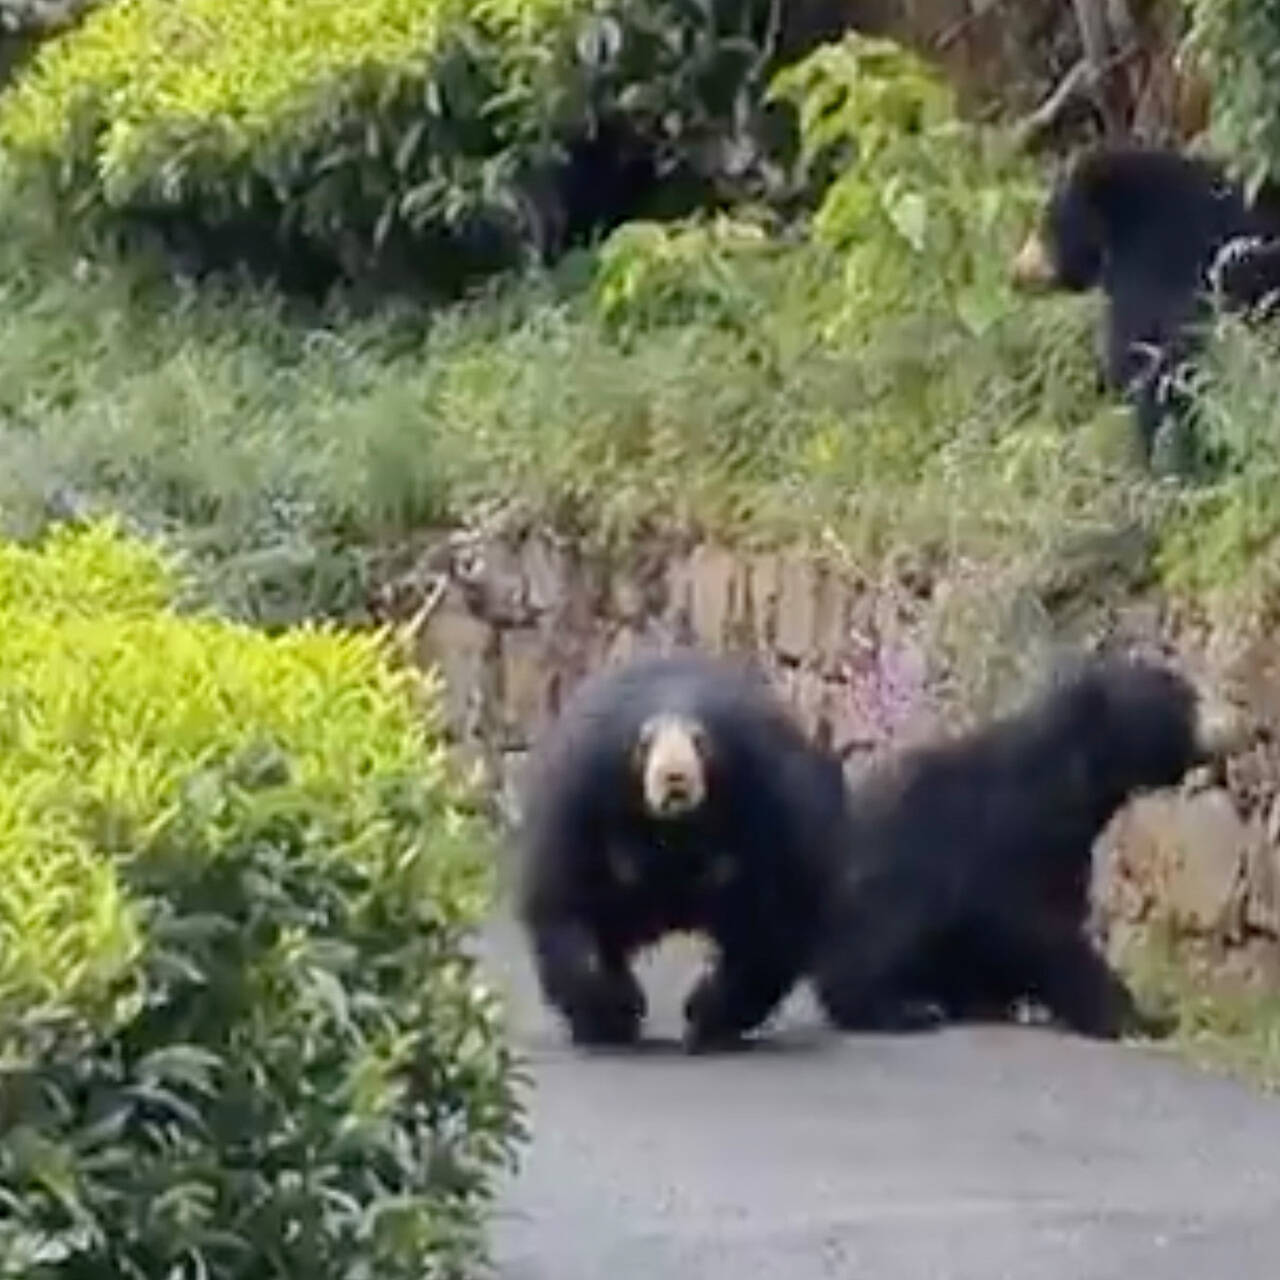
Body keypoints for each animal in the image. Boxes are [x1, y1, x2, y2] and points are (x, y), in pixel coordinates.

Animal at [509, 650, 849, 1049]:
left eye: (700, 742)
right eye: (644, 744)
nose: (675, 777)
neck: (676, 832)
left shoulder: (777, 808)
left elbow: (772, 924)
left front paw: (706, 1017)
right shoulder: (577, 805)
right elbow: (565, 907)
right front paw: (613, 1018)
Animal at [808, 650, 1249, 1039]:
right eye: (1183, 695)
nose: (1235, 718)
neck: (1070, 779)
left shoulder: (1065, 846)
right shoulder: (1014, 834)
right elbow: (1034, 925)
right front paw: (1134, 1016)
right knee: (885, 935)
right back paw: (900, 1009)